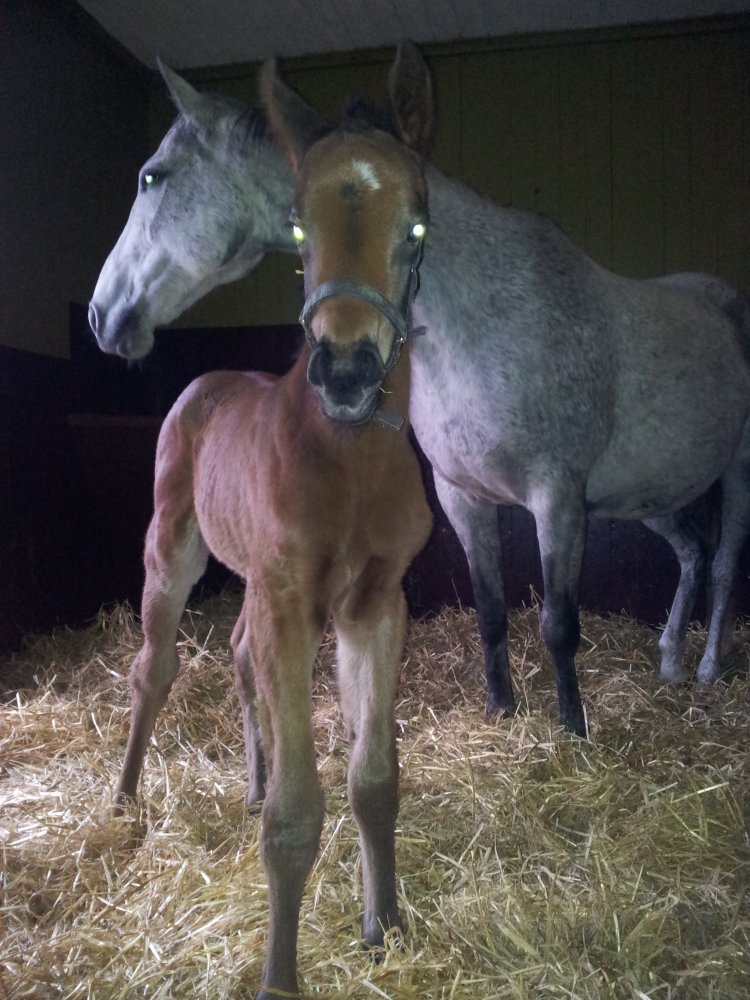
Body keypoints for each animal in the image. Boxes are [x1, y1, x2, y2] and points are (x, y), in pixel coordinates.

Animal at [114, 43, 438, 996]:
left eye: (418, 225)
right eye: (295, 229)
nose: (347, 370)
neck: (347, 457)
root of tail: (208, 379)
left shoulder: (375, 605)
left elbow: (374, 780)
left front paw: (384, 926)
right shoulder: (290, 601)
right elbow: (298, 814)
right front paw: (280, 977)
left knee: (235, 655)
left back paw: (247, 780)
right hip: (173, 553)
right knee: (156, 667)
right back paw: (125, 799)